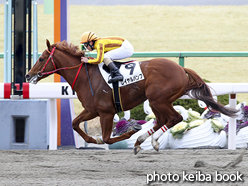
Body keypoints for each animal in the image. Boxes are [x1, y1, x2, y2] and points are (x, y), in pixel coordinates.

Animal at [26, 40, 237, 154]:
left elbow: (107, 137)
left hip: (157, 99)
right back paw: (143, 141)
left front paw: (127, 133)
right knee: (164, 120)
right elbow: (74, 124)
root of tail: (180, 69)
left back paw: (145, 140)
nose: (28, 75)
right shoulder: (92, 110)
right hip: (158, 101)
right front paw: (94, 141)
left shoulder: (106, 112)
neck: (86, 76)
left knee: (174, 118)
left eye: (42, 58)